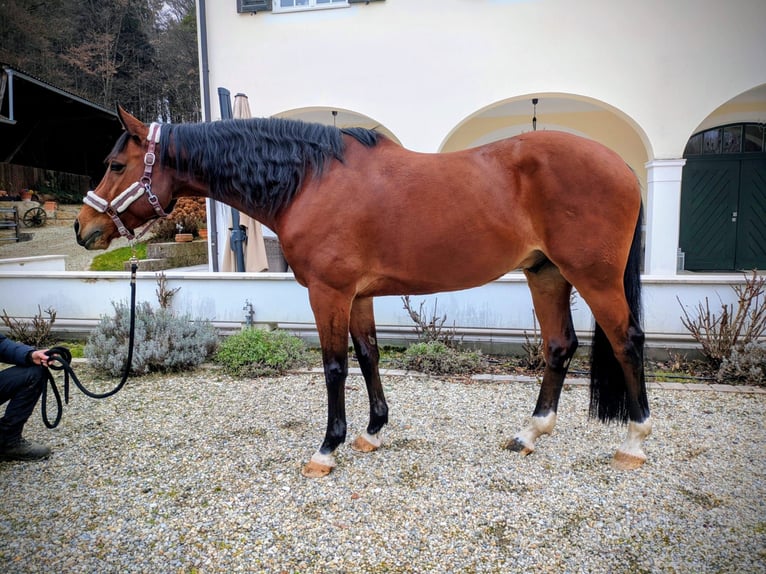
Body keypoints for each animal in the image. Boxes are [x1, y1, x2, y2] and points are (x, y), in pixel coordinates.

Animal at [75, 107, 650, 478]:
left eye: (116, 166)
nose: (84, 229)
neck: (310, 181)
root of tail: (622, 166)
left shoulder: (329, 292)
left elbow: (335, 366)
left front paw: (327, 448)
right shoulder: (359, 295)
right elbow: (368, 355)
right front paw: (372, 432)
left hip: (593, 278)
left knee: (627, 342)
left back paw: (634, 443)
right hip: (545, 273)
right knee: (559, 347)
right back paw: (529, 433)